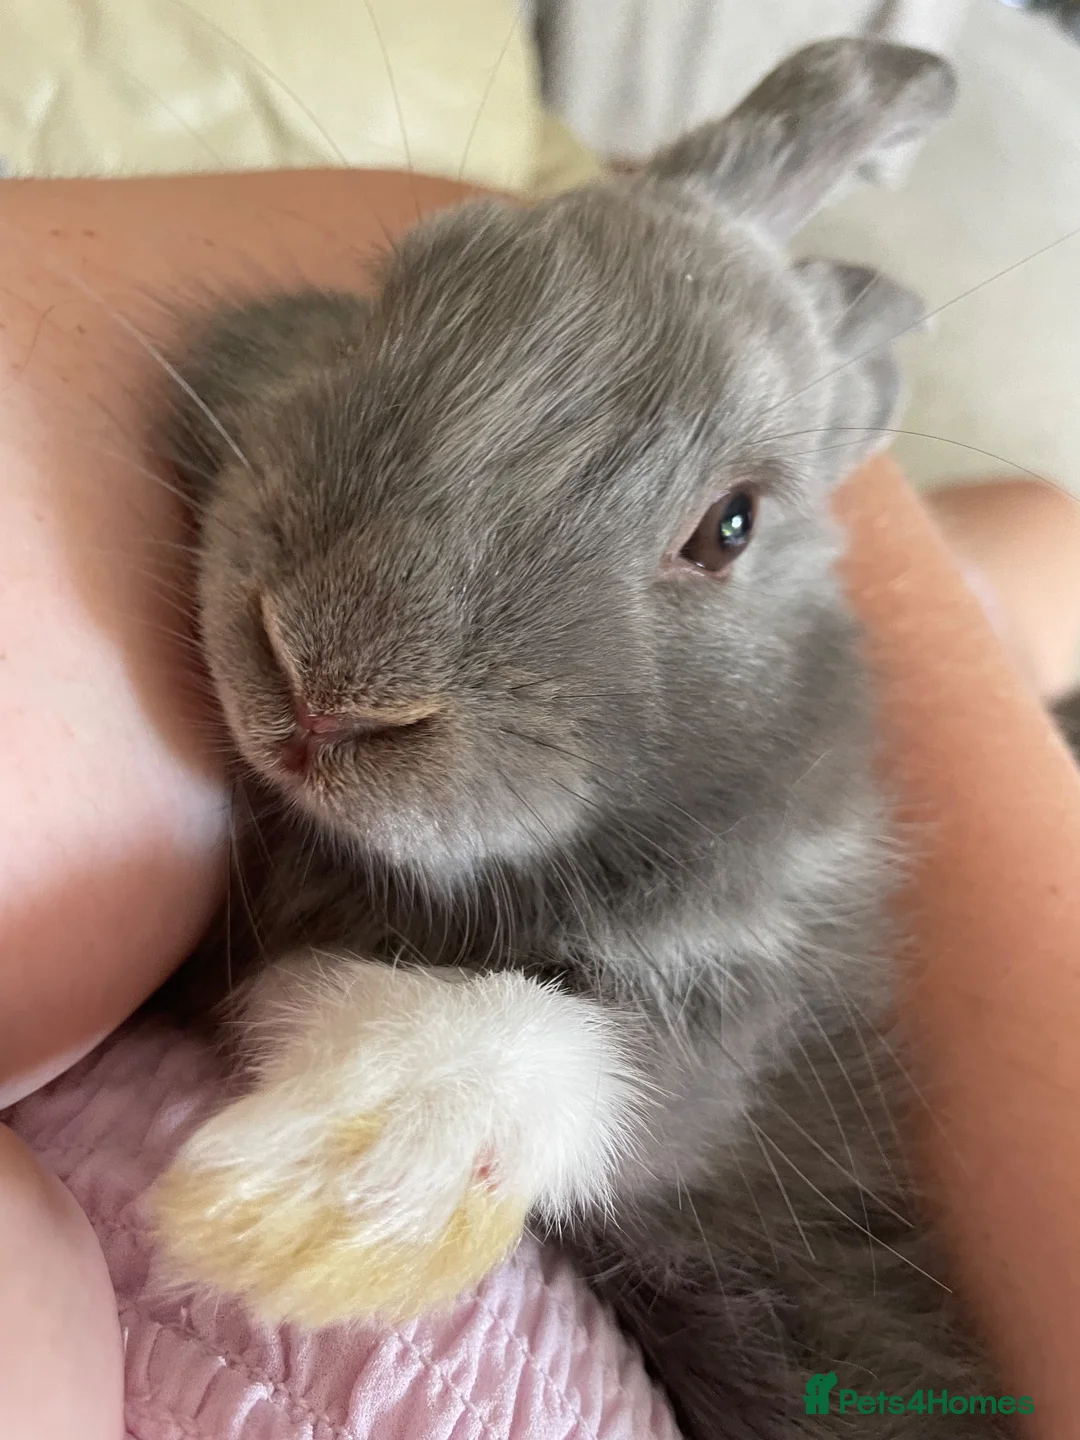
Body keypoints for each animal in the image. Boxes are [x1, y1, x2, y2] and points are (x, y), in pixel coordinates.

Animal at [149, 37, 1014, 1438]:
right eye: (401, 283)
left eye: (730, 526)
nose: (325, 686)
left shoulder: (748, 1015)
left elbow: (578, 1056)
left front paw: (314, 1204)